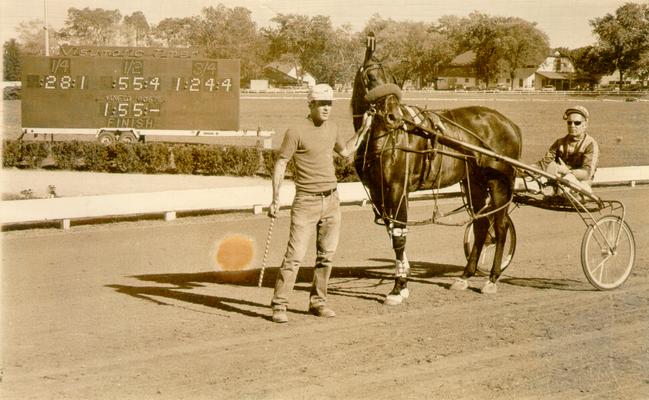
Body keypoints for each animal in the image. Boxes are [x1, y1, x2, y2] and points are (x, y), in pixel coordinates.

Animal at [350, 36, 520, 304]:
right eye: (372, 76)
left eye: (393, 77)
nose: (393, 116)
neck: (385, 138)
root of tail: (510, 124)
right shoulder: (378, 192)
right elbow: (392, 232)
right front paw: (404, 275)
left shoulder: (397, 189)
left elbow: (399, 235)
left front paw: (398, 287)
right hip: (475, 182)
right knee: (482, 224)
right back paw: (465, 276)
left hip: (499, 182)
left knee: (500, 227)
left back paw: (492, 278)